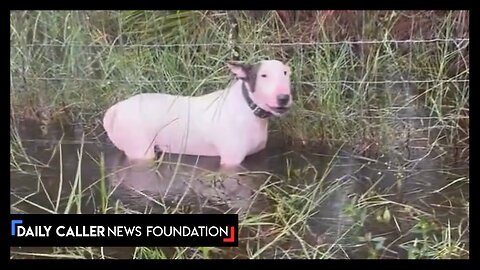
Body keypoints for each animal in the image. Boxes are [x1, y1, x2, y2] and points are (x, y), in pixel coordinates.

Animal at [102, 60, 292, 168]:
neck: (248, 107)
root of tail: (116, 109)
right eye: (263, 75)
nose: (284, 98)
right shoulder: (231, 161)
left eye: (285, 73)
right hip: (141, 150)